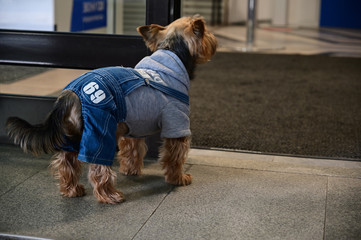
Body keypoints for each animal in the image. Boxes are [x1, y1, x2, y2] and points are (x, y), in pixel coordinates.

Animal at [5, 15, 217, 203]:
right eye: (206, 33)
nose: (214, 39)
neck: (171, 53)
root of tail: (70, 94)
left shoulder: (133, 128)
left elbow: (132, 150)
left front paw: (131, 170)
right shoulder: (177, 122)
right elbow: (174, 156)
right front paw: (178, 178)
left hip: (71, 134)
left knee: (66, 161)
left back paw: (71, 190)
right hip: (100, 128)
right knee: (98, 166)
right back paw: (109, 196)